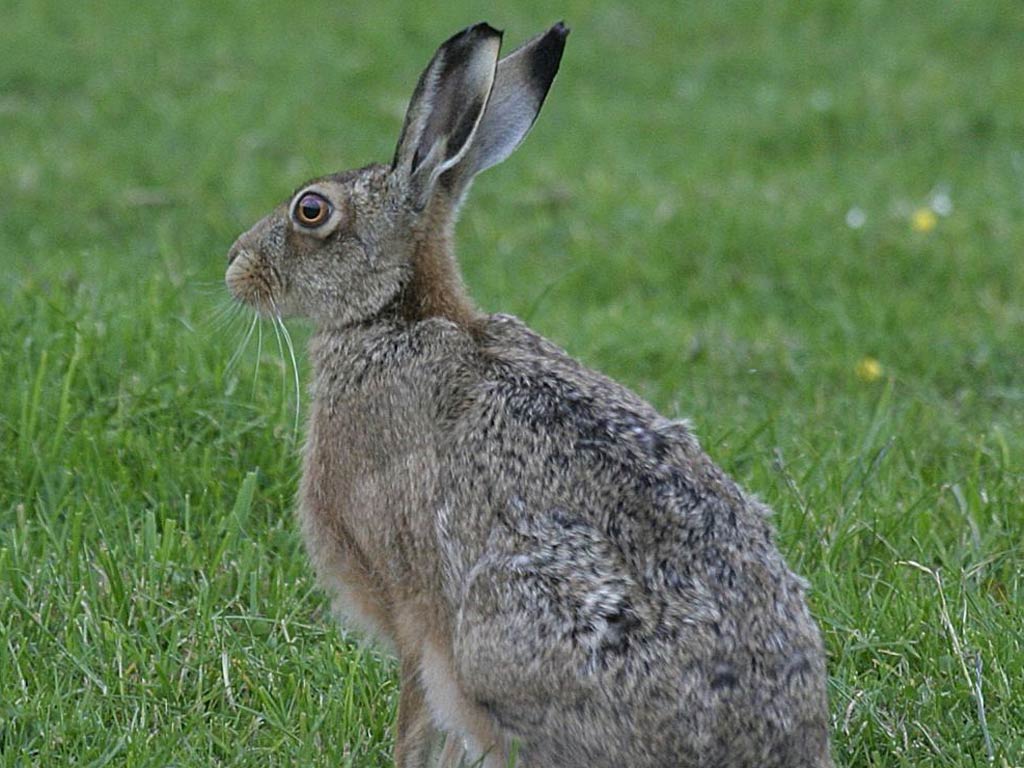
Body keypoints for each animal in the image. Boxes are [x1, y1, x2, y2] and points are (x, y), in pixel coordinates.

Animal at [225, 21, 834, 768]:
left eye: (311, 210)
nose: (235, 265)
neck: (394, 314)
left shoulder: (413, 608)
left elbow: (417, 714)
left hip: (508, 628)